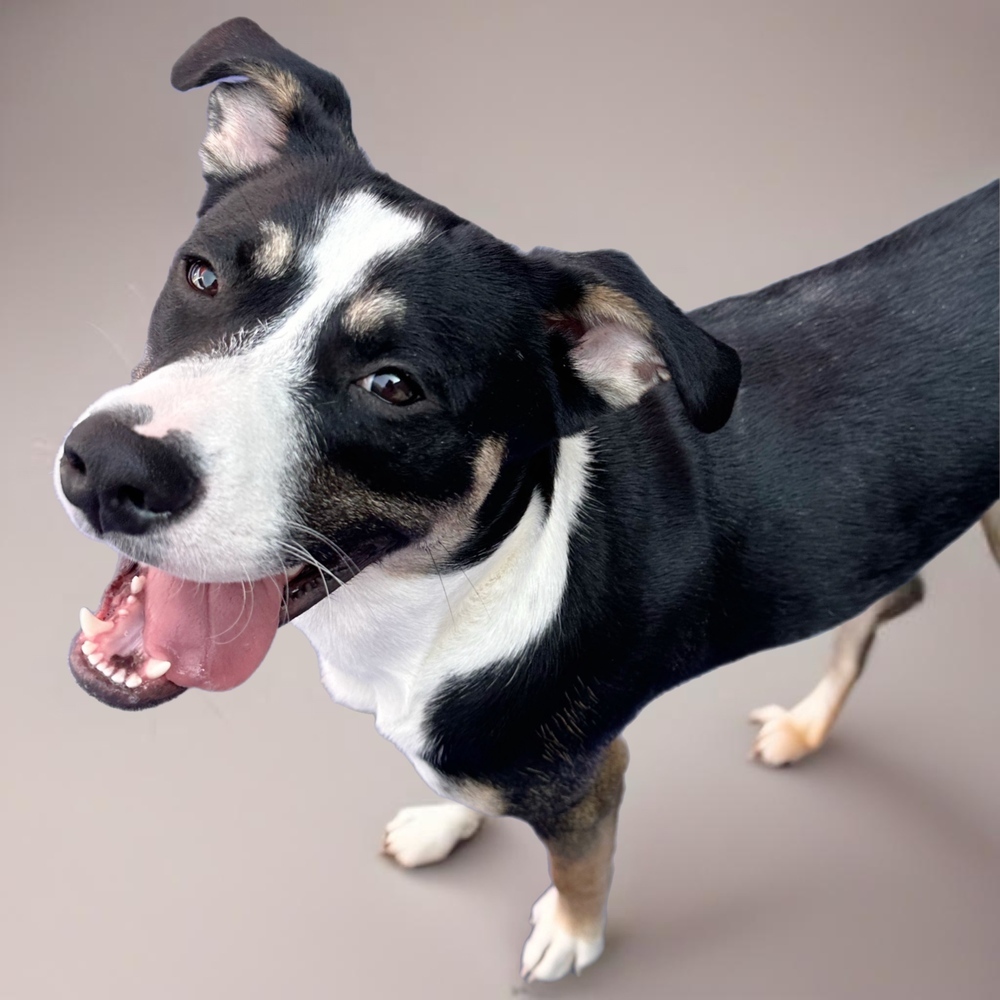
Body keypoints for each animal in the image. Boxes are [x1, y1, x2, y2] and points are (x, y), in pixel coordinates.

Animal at [56, 17, 1000, 984]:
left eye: (394, 386)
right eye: (202, 276)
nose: (110, 468)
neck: (444, 600)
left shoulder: (585, 778)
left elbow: (580, 865)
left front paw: (571, 936)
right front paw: (444, 821)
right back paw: (808, 727)